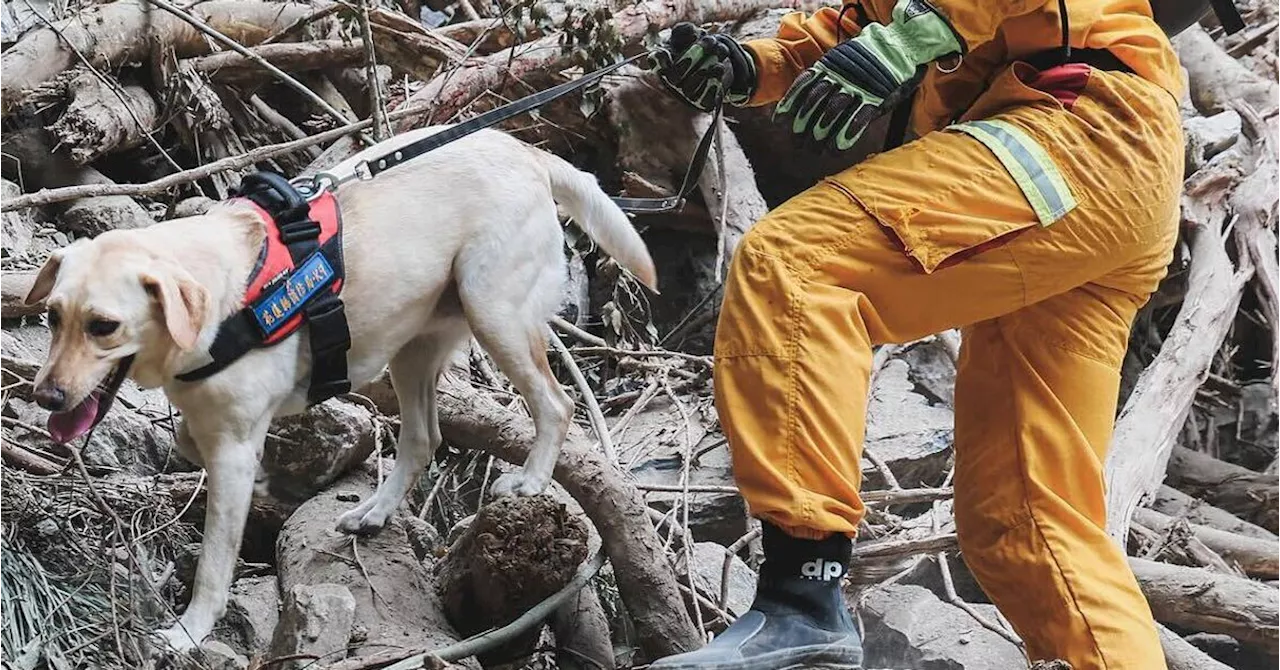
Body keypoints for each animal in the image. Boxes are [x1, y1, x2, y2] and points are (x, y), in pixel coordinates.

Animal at [20, 125, 655, 650]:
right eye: (52, 316)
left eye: (104, 326)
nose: (46, 398)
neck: (216, 303)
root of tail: (524, 150)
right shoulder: (218, 431)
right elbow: (193, 453)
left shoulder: (233, 450)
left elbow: (214, 563)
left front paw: (190, 630)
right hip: (415, 347)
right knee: (423, 440)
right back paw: (374, 511)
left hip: (494, 312)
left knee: (557, 403)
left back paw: (530, 481)